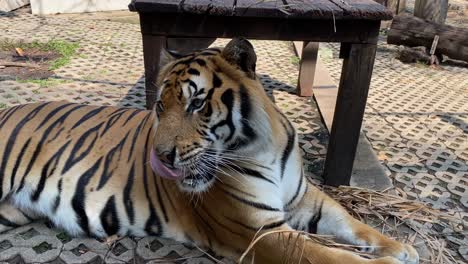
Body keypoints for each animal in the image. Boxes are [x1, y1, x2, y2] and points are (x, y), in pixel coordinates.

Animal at [0, 38, 418, 262]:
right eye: (160, 106)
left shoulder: (304, 199)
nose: (161, 158)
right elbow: (333, 256)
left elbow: (352, 223)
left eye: (197, 104)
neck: (266, 149)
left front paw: (402, 248)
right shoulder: (260, 232)